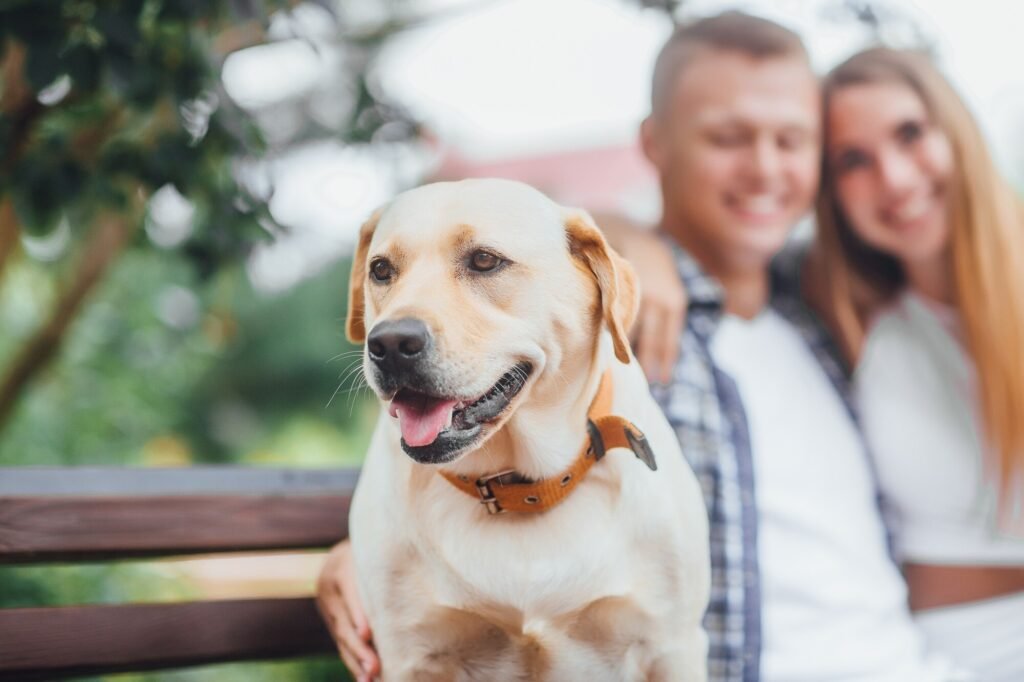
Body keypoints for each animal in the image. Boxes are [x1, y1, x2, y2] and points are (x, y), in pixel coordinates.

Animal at [348, 178, 708, 675]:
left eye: (484, 260)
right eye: (382, 270)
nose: (389, 343)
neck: (520, 488)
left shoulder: (672, 645)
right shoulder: (410, 655)